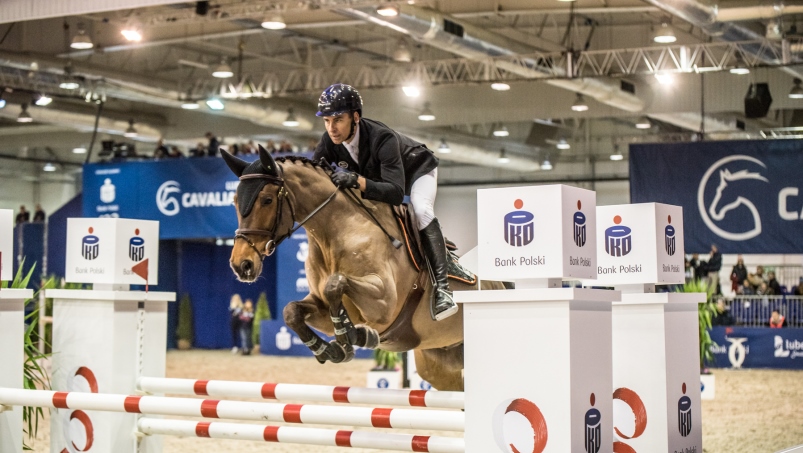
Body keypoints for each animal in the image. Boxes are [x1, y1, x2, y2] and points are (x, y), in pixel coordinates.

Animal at [223, 147, 506, 390]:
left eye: (267, 199)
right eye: (235, 201)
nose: (241, 265)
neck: (336, 232)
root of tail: (500, 285)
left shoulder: (383, 302)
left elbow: (336, 284)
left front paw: (355, 335)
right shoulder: (320, 306)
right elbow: (292, 311)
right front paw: (332, 349)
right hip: (439, 362)